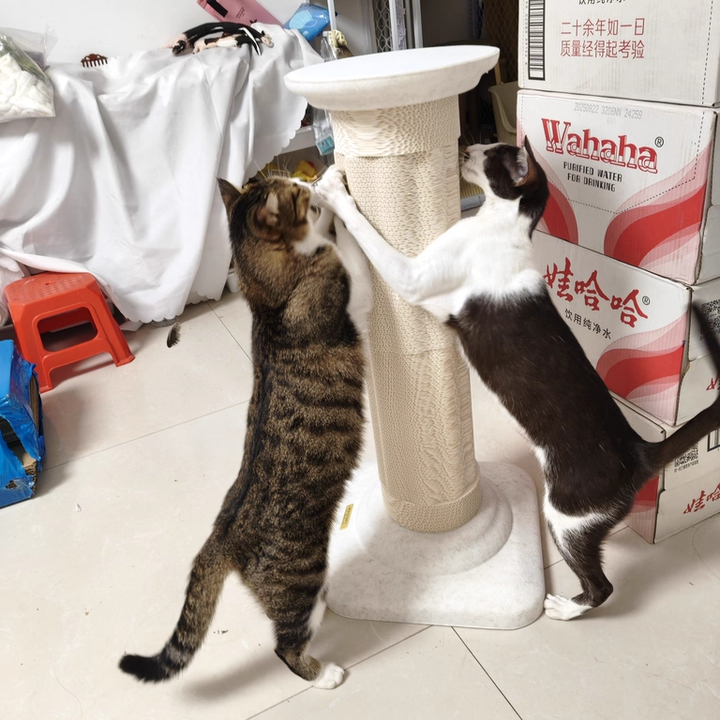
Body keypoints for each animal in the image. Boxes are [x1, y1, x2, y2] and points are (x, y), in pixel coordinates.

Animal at [119, 172, 372, 688]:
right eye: (297, 194)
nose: (302, 176)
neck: (266, 300)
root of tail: (222, 535)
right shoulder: (348, 290)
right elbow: (352, 252)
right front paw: (337, 193)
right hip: (302, 582)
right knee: (286, 648)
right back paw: (324, 673)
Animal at [313, 143, 720, 621]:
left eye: (491, 155)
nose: (467, 146)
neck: (499, 223)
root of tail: (637, 450)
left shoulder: (412, 277)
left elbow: (366, 238)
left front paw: (332, 191)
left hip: (566, 516)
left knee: (601, 585)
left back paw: (565, 608)